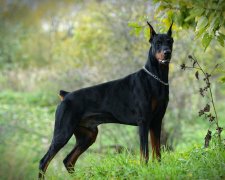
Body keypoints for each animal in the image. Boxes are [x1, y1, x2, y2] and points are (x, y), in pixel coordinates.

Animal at [38, 21, 174, 178]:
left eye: (170, 41)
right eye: (158, 43)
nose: (167, 52)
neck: (156, 78)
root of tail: (66, 95)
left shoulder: (156, 121)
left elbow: (157, 153)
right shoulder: (144, 122)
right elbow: (144, 154)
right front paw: (145, 171)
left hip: (88, 135)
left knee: (68, 160)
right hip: (63, 132)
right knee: (44, 161)